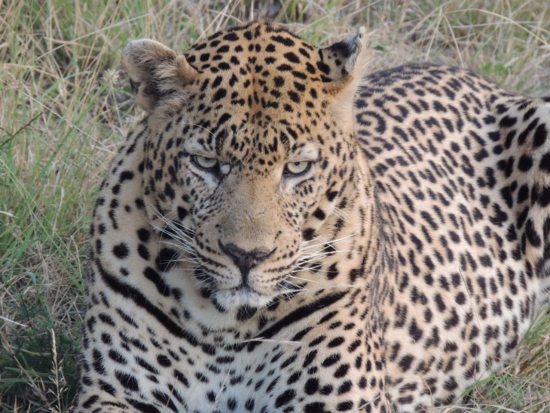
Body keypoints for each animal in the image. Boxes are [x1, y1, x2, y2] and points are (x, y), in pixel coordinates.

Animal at [74, 20, 550, 412]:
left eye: (297, 167)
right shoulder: (116, 392)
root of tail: (479, 79)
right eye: (207, 163)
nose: (247, 257)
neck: (227, 325)